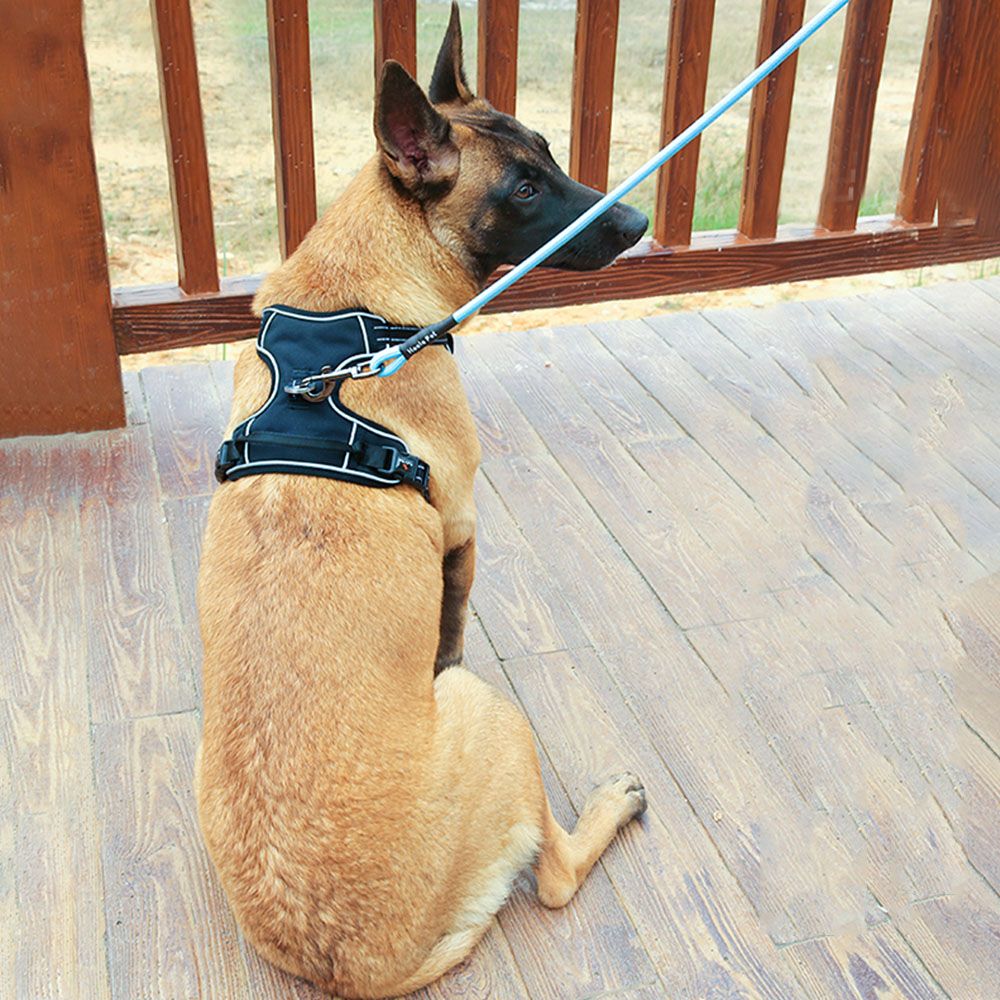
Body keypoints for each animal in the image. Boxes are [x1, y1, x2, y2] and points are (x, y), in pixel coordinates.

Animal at [196, 6, 648, 996]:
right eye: (525, 188)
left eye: (548, 152)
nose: (635, 218)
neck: (353, 303)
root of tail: (359, 965)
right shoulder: (465, 528)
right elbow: (452, 621)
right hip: (497, 716)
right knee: (555, 877)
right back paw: (609, 805)